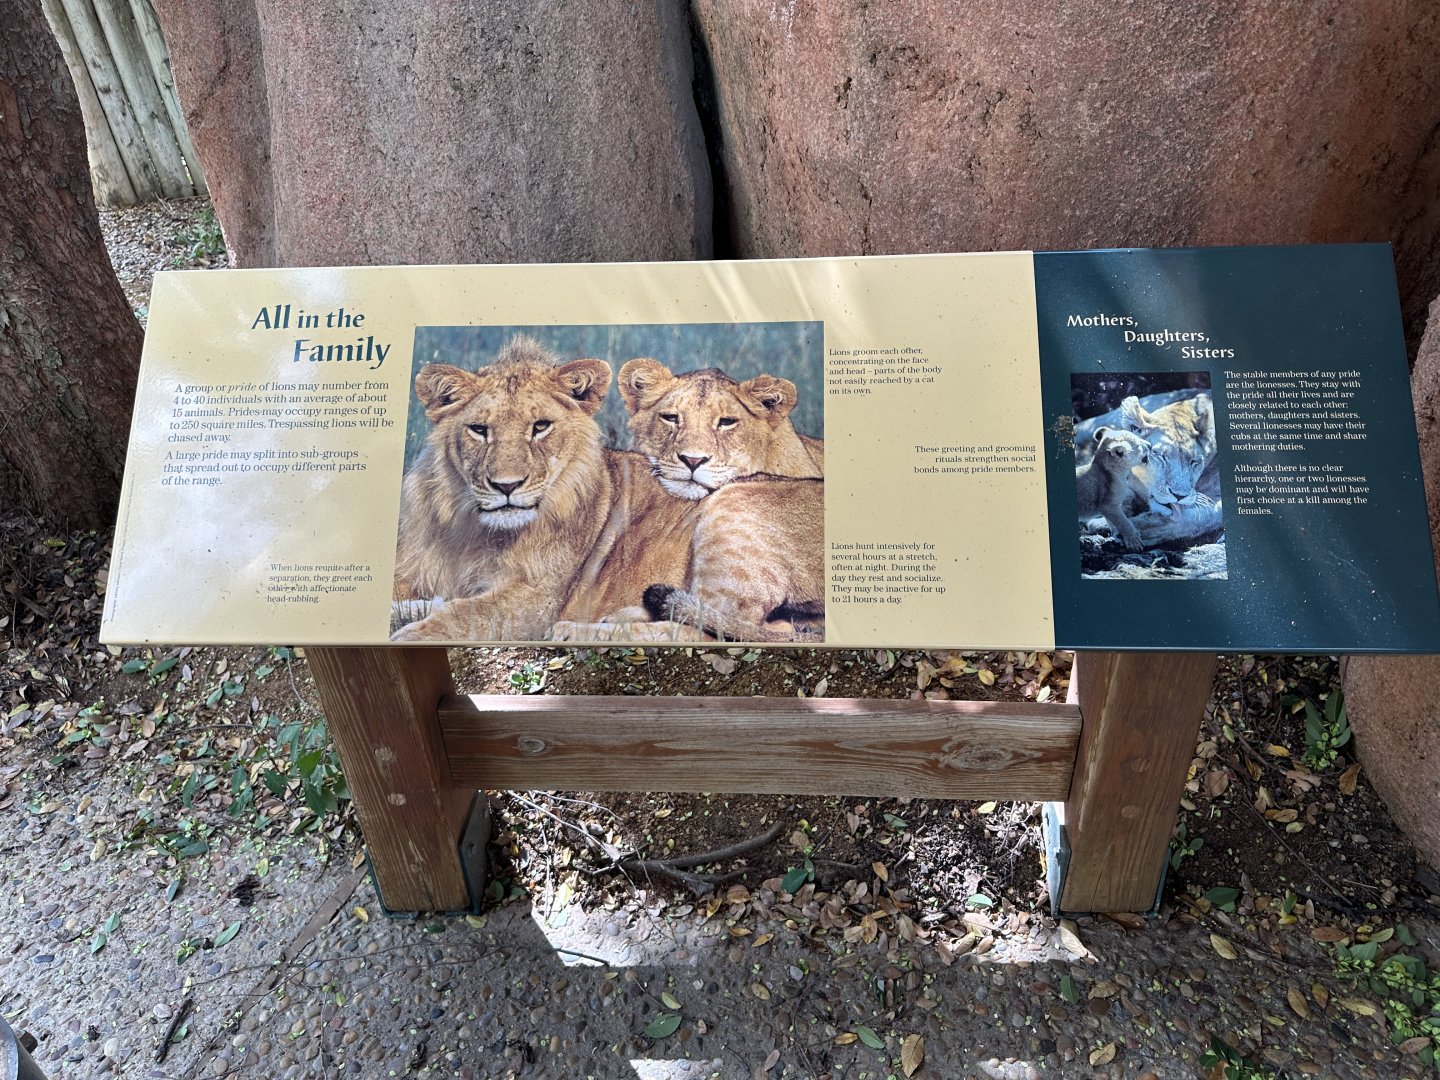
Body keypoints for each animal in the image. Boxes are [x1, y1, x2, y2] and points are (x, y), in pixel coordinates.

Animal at [390, 337, 614, 642]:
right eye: (479, 429)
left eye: (541, 426)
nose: (506, 485)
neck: (476, 535)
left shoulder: (540, 599)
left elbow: (467, 614)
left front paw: (412, 635)